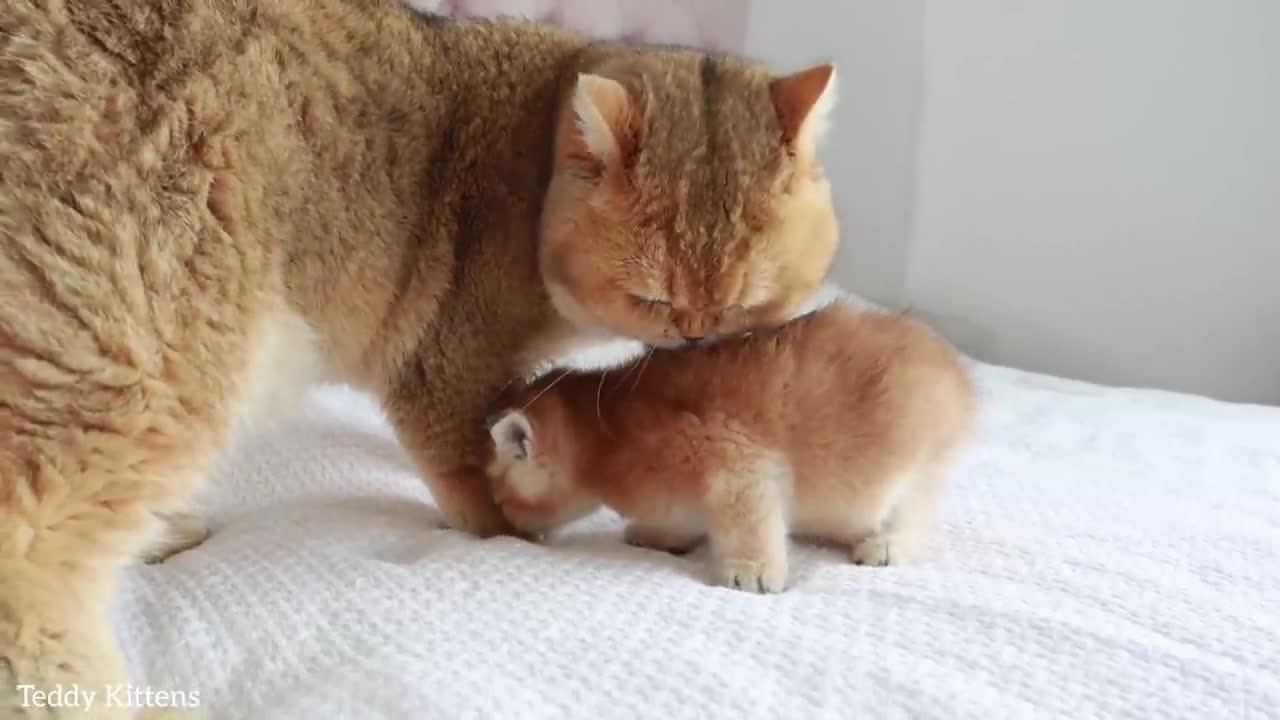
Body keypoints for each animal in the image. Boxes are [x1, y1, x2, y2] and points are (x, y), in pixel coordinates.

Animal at [0, 0, 839, 707]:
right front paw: (519, 538)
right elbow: (482, 496)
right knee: (33, 562)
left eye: (743, 304)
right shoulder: (443, 380)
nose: (696, 334)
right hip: (136, 356)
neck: (539, 151)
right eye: (655, 300)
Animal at [483, 299, 972, 591]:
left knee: (916, 513)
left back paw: (886, 545)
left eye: (501, 496)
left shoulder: (735, 460)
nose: (509, 525)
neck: (607, 430)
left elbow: (749, 523)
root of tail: (958, 374)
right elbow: (680, 519)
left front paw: (752, 571)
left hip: (908, 472)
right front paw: (660, 535)